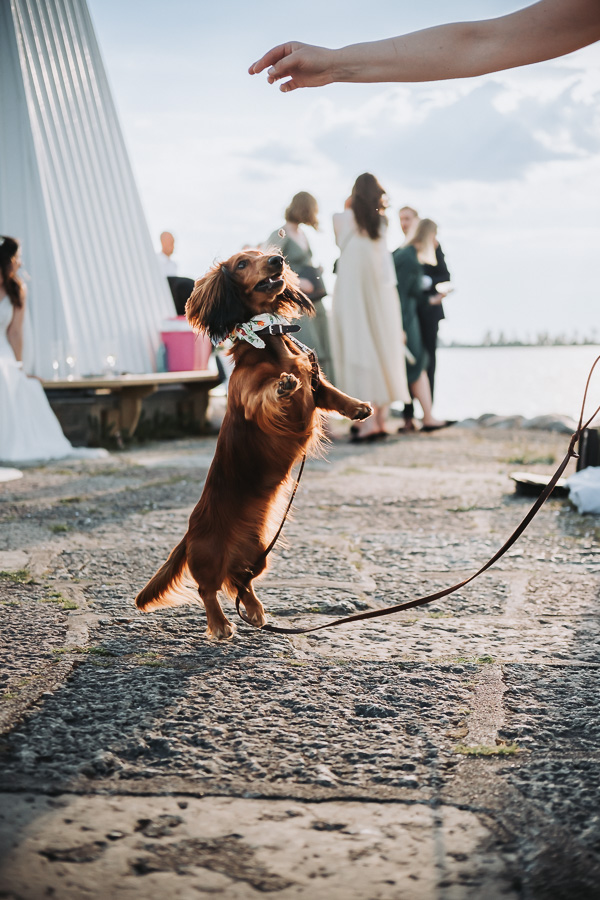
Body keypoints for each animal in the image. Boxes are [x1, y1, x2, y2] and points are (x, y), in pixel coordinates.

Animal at [135, 250, 370, 636]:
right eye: (242, 263)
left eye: (263, 254)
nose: (277, 260)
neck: (269, 339)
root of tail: (189, 534)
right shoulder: (254, 400)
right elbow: (269, 394)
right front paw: (283, 385)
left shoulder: (314, 383)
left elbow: (331, 392)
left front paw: (358, 407)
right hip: (211, 555)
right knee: (208, 589)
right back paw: (220, 625)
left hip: (258, 551)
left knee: (240, 582)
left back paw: (256, 611)